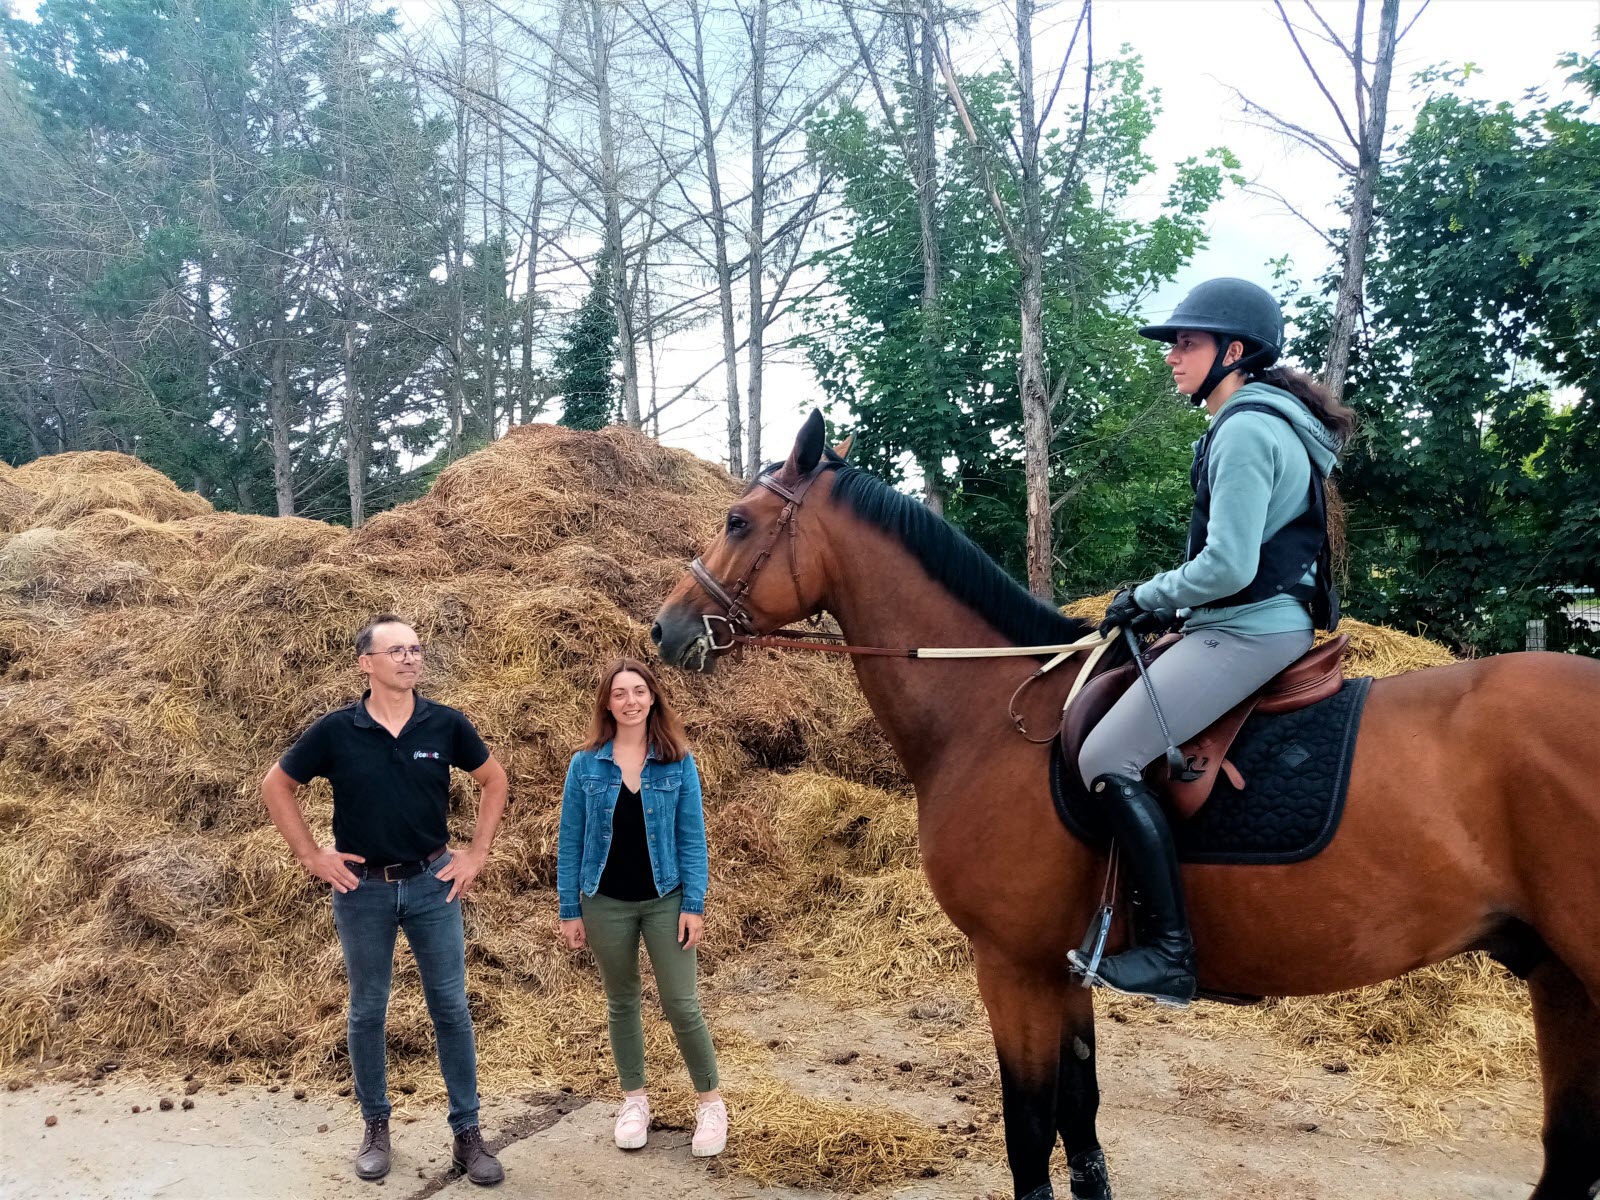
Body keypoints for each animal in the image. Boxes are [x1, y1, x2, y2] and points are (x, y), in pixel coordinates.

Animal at [646, 416, 1600, 1200]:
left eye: (737, 521)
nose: (664, 629)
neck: (989, 715)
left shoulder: (1012, 966)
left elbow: (1030, 1134)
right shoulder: (1063, 970)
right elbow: (1083, 1124)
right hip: (1559, 980)